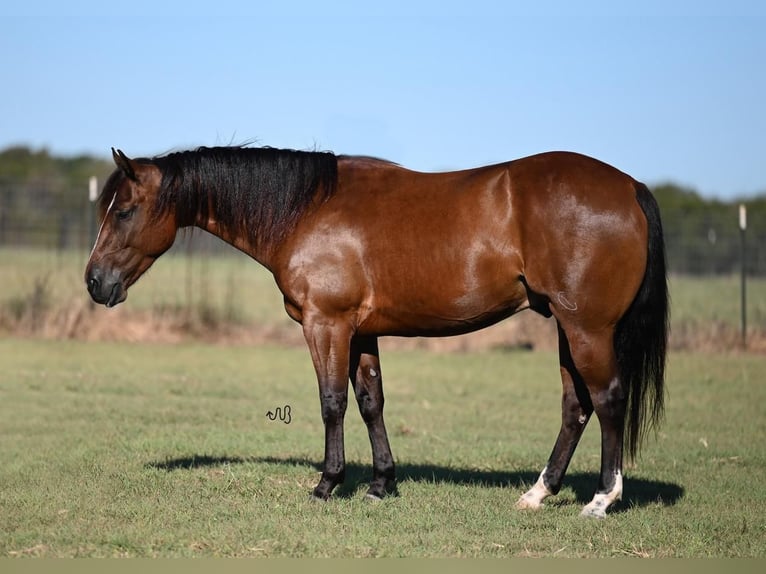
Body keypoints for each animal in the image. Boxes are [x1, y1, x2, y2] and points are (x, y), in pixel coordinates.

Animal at [87, 146, 668, 520]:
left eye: (126, 210)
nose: (95, 282)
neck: (306, 209)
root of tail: (630, 186)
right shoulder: (360, 332)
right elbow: (371, 402)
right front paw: (381, 484)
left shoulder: (327, 323)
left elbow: (332, 403)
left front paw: (327, 484)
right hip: (567, 330)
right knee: (576, 407)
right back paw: (537, 494)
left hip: (587, 328)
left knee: (608, 400)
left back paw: (601, 500)